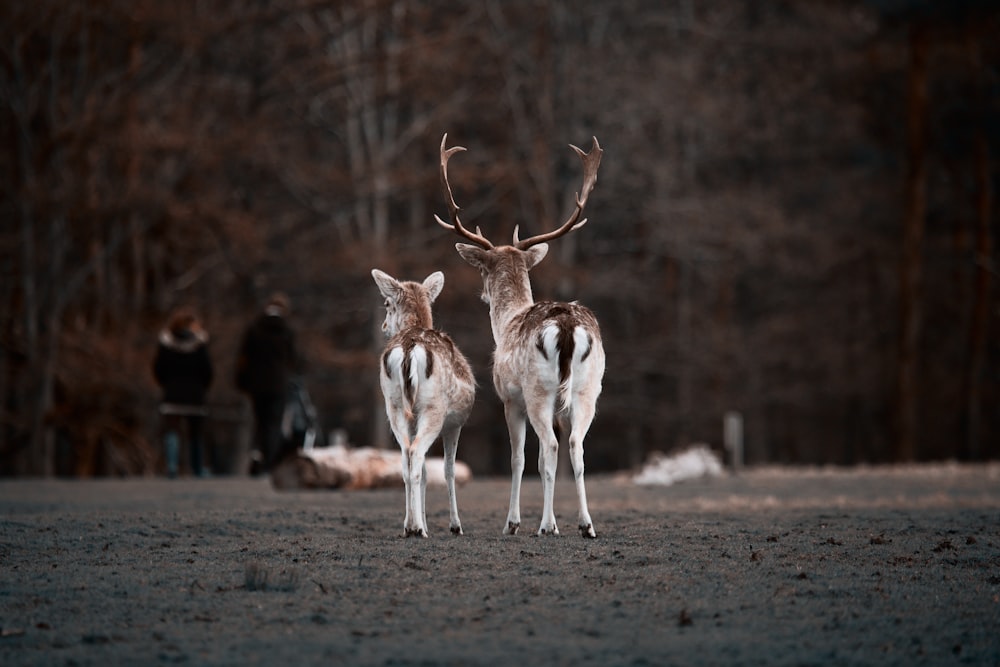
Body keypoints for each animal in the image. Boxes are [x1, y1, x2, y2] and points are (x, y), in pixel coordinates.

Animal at [372, 268, 476, 536]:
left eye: (386, 304)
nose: (383, 326)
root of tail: (409, 349)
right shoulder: (455, 425)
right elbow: (449, 471)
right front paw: (455, 525)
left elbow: (429, 472)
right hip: (433, 408)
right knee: (416, 453)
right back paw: (417, 529)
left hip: (395, 407)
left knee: (405, 458)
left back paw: (410, 526)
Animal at [436, 133, 604, 540]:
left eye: (483, 270)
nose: (483, 294)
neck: (507, 321)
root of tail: (566, 327)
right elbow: (544, 460)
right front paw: (558, 520)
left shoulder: (509, 398)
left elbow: (520, 458)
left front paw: (514, 523)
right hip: (588, 388)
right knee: (575, 447)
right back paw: (586, 525)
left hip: (537, 389)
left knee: (553, 446)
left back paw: (543, 527)